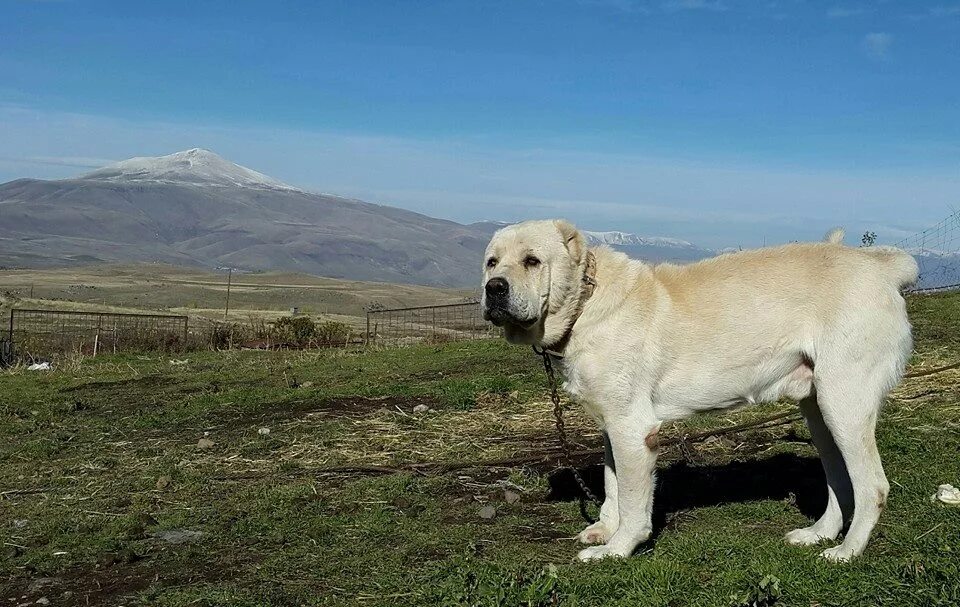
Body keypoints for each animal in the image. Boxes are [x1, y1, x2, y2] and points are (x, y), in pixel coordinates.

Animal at [484, 220, 920, 564]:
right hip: (819, 412)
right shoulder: (613, 427)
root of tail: (881, 266)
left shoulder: (633, 430)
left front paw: (617, 549)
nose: (493, 288)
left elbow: (633, 499)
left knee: (872, 487)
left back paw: (847, 551)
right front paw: (606, 529)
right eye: (491, 262)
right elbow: (613, 484)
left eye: (532, 261)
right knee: (840, 481)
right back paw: (818, 534)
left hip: (843, 404)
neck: (585, 304)